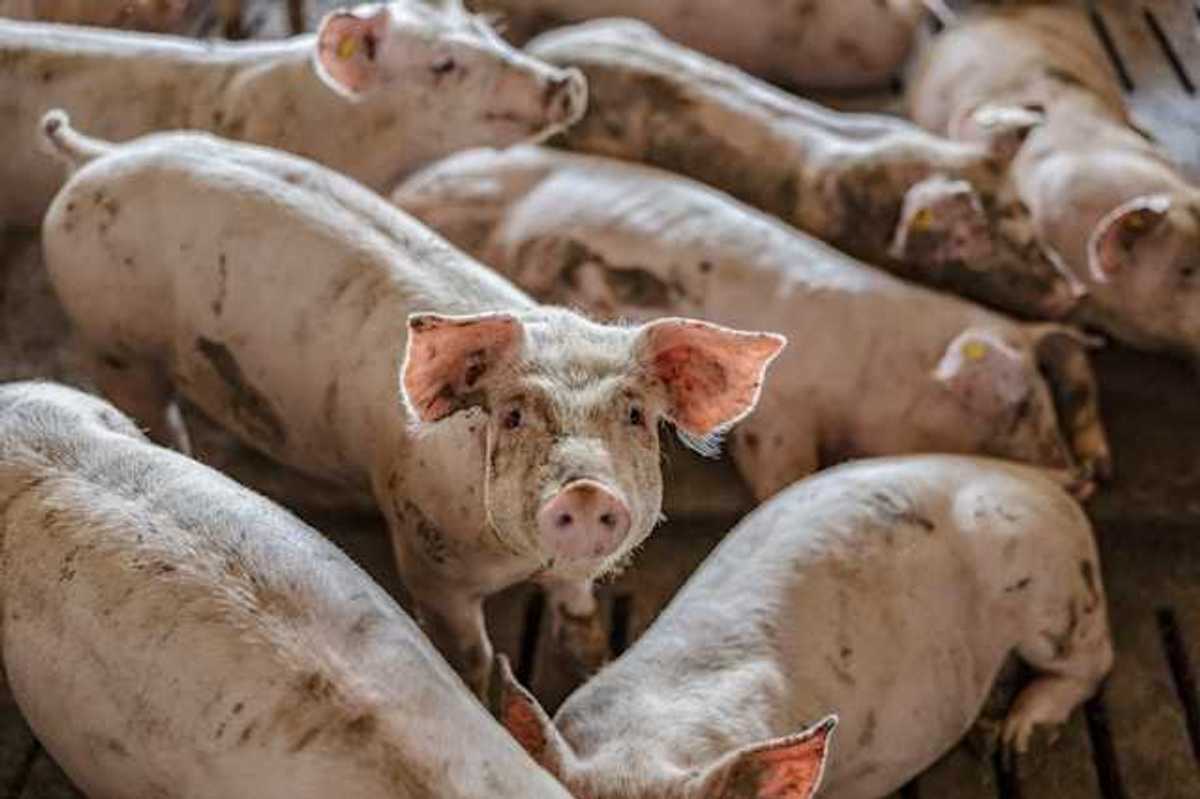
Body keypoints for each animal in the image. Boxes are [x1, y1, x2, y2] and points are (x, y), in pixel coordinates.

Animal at [38, 114, 784, 695]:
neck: (517, 563)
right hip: (113, 345)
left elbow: (577, 607)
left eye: (634, 415)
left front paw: (592, 659)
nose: (586, 490)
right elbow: (471, 655)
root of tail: (97, 156)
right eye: (513, 414)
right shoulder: (427, 557)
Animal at [394, 145, 1112, 501]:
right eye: (1014, 403)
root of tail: (409, 185)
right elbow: (783, 473)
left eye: (1042, 397)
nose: (1079, 478)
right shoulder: (779, 422)